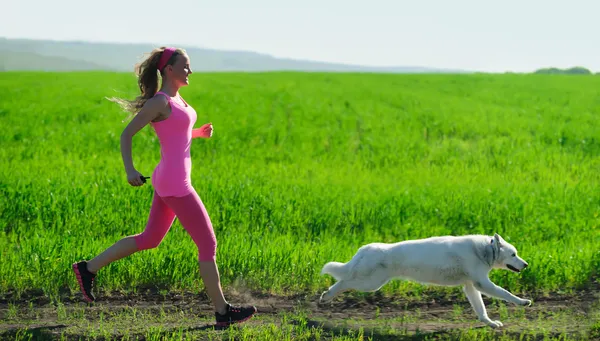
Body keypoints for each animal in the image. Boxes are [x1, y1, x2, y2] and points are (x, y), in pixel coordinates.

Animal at [322, 231, 532, 326]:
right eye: (513, 254)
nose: (526, 265)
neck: (482, 250)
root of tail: (365, 248)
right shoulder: (483, 284)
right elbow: (506, 294)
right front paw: (523, 302)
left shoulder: (471, 287)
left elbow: (481, 310)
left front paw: (490, 323)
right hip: (369, 284)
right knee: (344, 281)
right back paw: (326, 296)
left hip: (369, 283)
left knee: (344, 280)